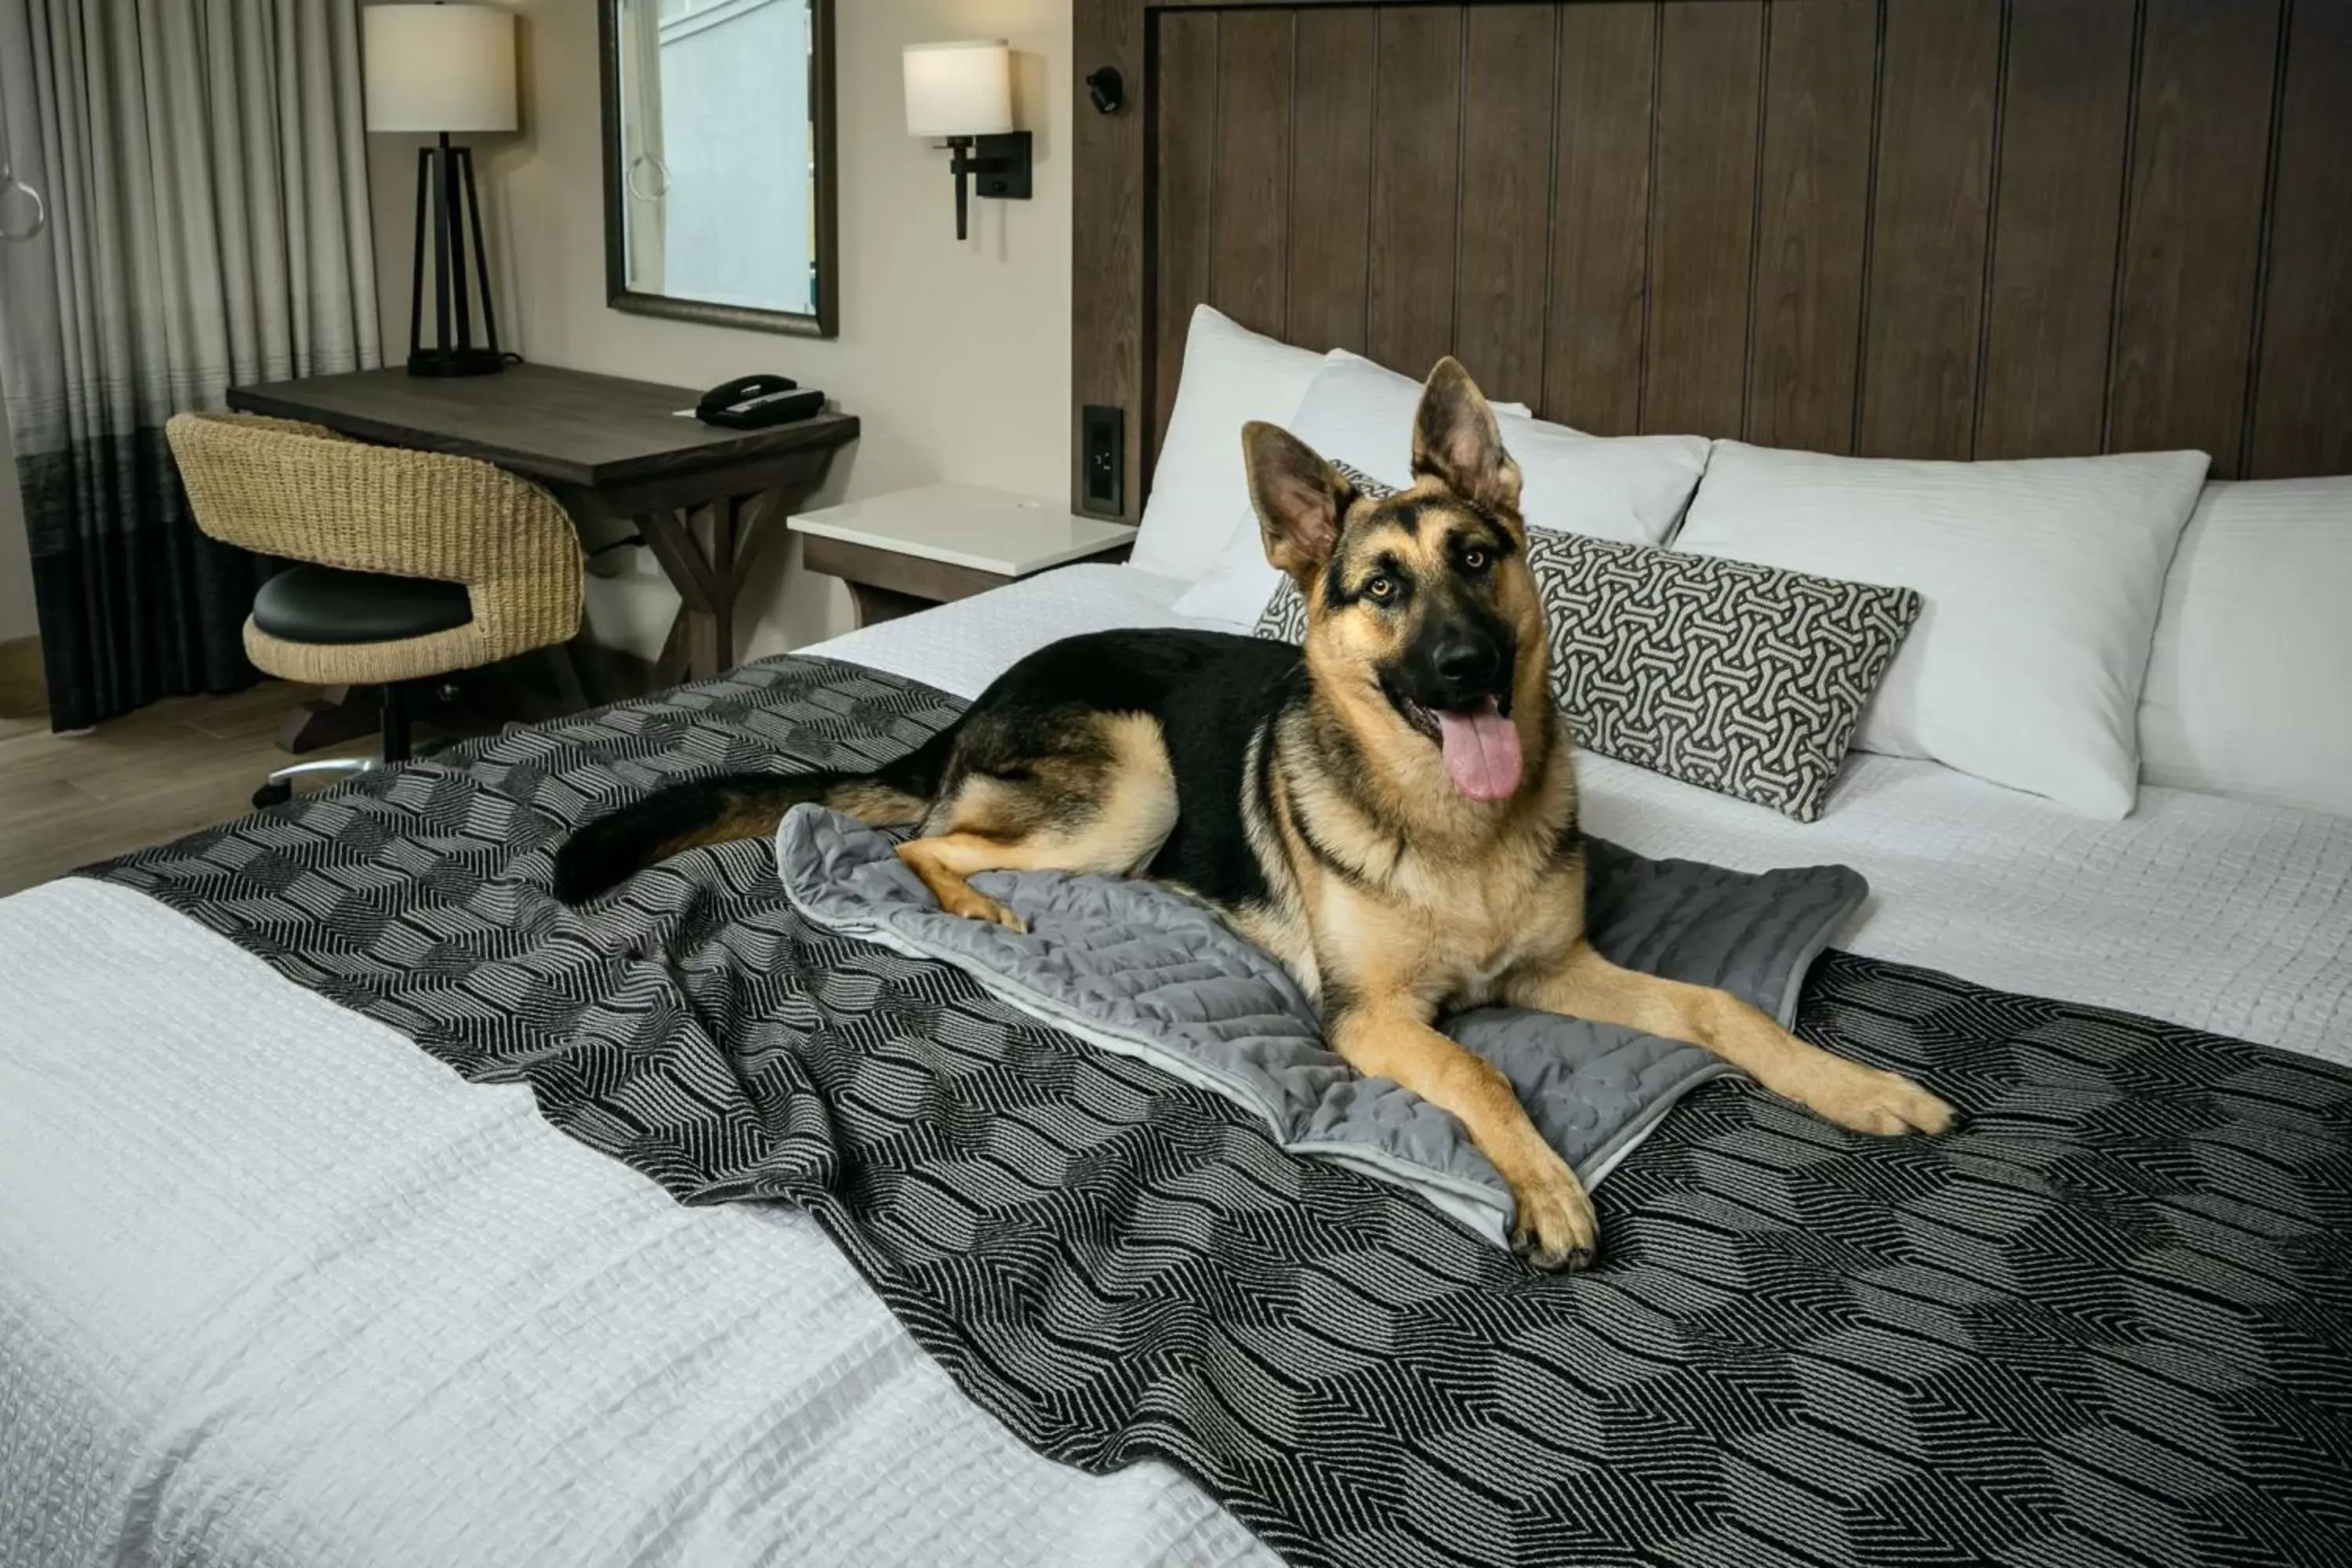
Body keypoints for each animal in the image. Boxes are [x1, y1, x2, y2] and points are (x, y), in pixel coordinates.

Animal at [555, 361, 1947, 1269]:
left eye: (1479, 558)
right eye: (1381, 588)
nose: (1469, 671)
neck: (1451, 824)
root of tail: (994, 687)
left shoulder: (1561, 968)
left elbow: (1718, 1008)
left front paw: (1855, 1090)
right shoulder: (1374, 1022)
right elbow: (1484, 1074)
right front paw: (1547, 1187)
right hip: (1137, 781)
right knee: (916, 840)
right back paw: (982, 910)